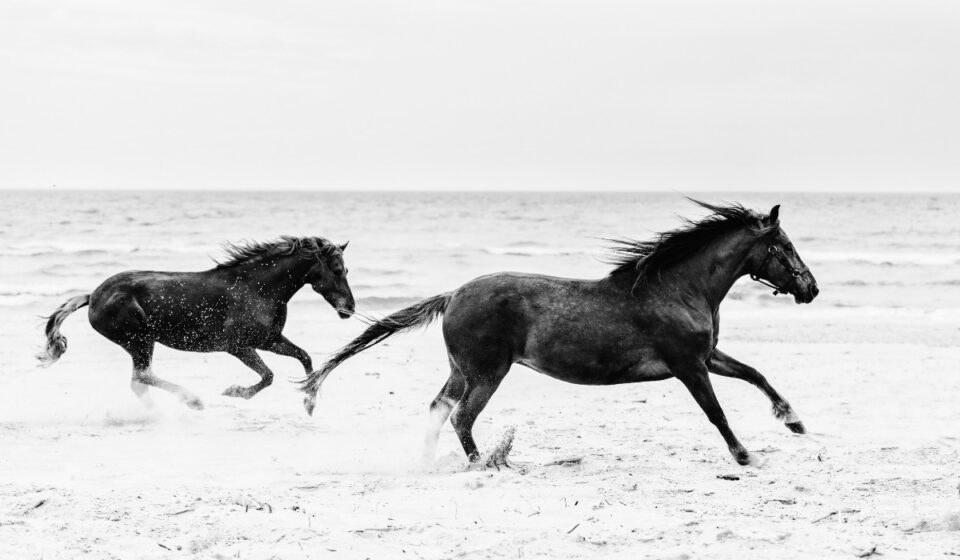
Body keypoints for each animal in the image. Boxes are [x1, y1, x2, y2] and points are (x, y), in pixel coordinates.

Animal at [38, 236, 354, 410]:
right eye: (338, 269)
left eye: (346, 269)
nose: (350, 308)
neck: (257, 288)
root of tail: (93, 296)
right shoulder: (238, 346)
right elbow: (268, 376)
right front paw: (235, 392)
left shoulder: (268, 340)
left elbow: (305, 358)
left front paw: (310, 399)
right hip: (140, 340)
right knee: (142, 377)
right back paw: (192, 402)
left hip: (140, 343)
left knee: (139, 382)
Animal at [300, 201, 819, 466]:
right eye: (785, 245)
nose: (811, 288)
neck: (677, 288)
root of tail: (453, 294)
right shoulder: (688, 366)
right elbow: (716, 413)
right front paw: (744, 455)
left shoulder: (707, 357)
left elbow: (756, 374)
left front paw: (794, 421)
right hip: (487, 373)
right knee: (462, 417)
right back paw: (484, 465)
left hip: (460, 371)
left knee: (438, 410)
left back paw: (430, 463)